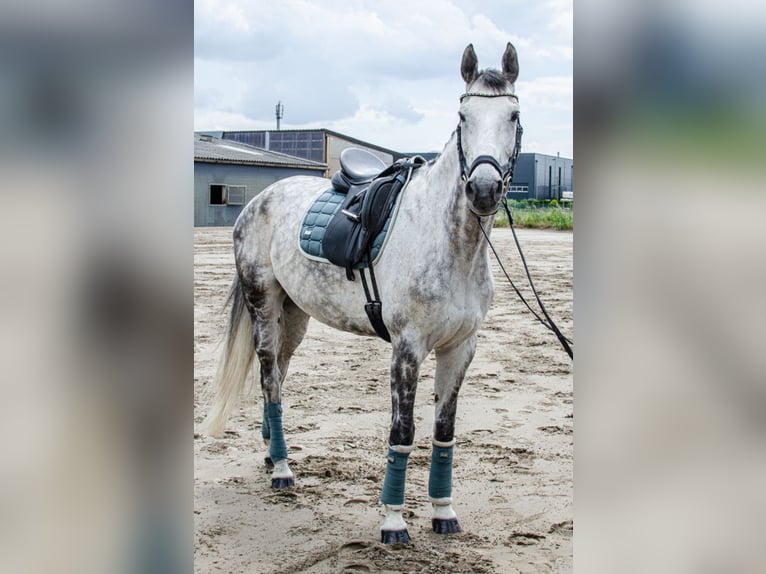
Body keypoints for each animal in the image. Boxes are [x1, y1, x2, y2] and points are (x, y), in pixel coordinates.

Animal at [204, 42, 522, 544]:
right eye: (462, 116)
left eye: (512, 114)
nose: (484, 189)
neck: (450, 243)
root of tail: (259, 199)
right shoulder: (408, 349)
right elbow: (402, 431)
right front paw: (393, 521)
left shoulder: (460, 348)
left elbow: (444, 429)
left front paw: (444, 512)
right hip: (263, 303)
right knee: (271, 377)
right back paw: (283, 471)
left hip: (294, 315)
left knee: (277, 376)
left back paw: (272, 454)